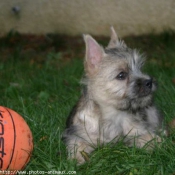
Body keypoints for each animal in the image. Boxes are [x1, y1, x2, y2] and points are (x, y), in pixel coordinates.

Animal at [62, 26, 166, 163]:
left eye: (140, 68)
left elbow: (149, 137)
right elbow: (77, 146)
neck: (113, 115)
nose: (149, 82)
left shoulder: (138, 130)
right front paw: (76, 160)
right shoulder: (78, 135)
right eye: (121, 75)